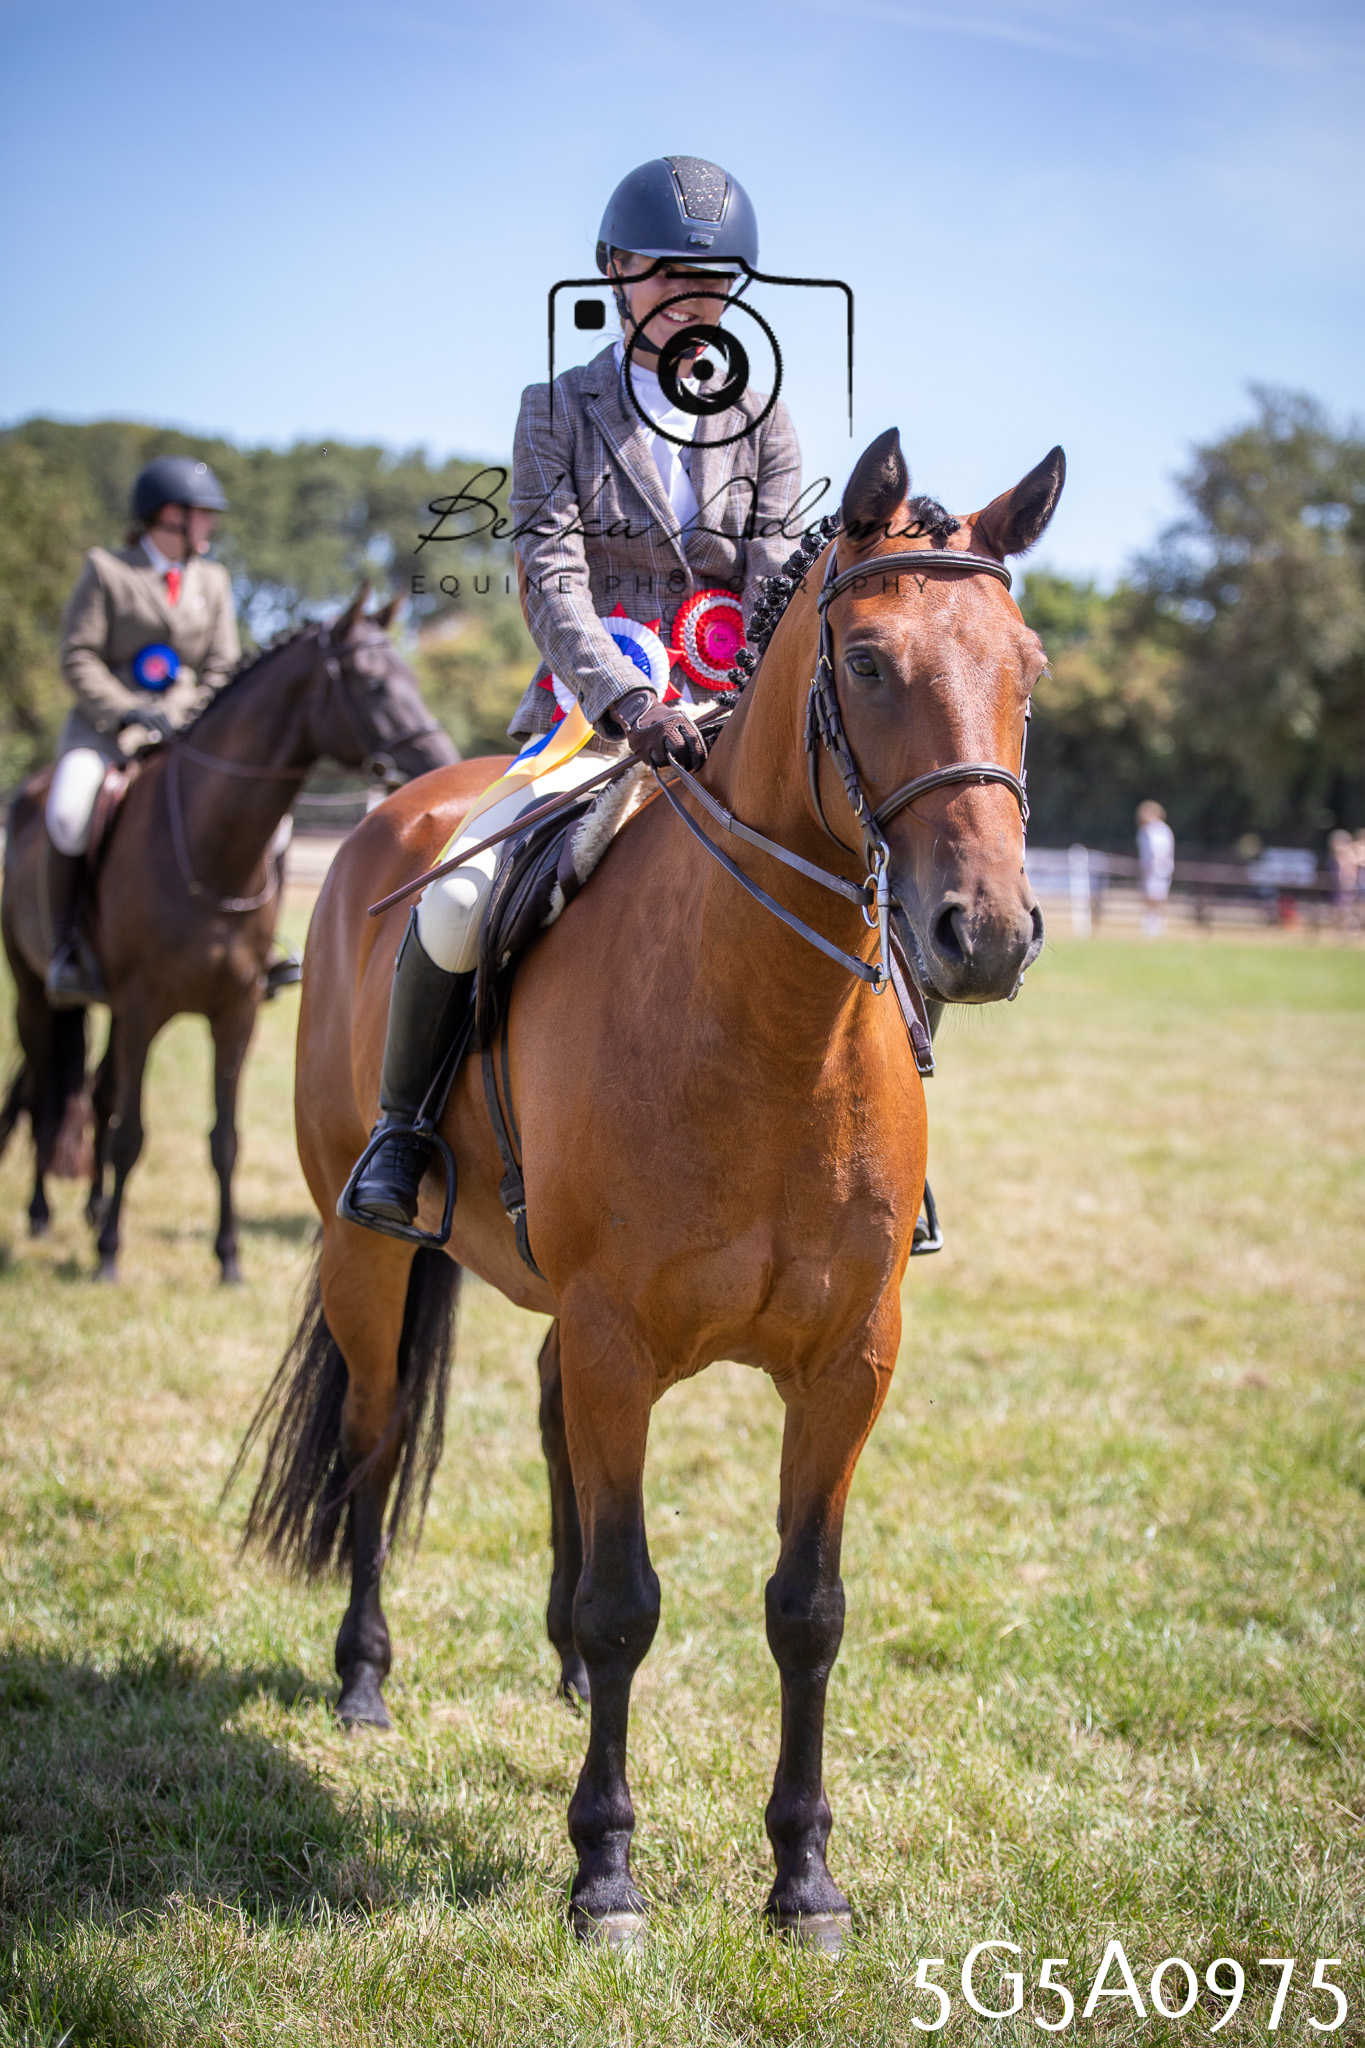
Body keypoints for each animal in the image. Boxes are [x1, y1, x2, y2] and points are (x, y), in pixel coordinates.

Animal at [0, 587, 458, 1282]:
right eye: (374, 682)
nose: (441, 762)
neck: (208, 848)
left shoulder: (235, 1012)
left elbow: (224, 1139)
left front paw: (228, 1256)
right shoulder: (143, 1009)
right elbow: (132, 1132)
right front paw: (109, 1254)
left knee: (95, 1092)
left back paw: (91, 1209)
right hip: (39, 995)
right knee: (43, 1087)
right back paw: (42, 1213)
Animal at [236, 429, 1064, 1949]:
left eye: (1026, 665)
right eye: (867, 663)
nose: (983, 936)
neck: (771, 1027)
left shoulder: (851, 1360)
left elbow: (808, 1609)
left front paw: (805, 1879)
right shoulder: (625, 1340)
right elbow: (632, 1600)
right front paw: (607, 1871)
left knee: (546, 1417)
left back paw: (557, 1670)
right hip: (363, 1252)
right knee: (375, 1444)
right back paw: (366, 1675)